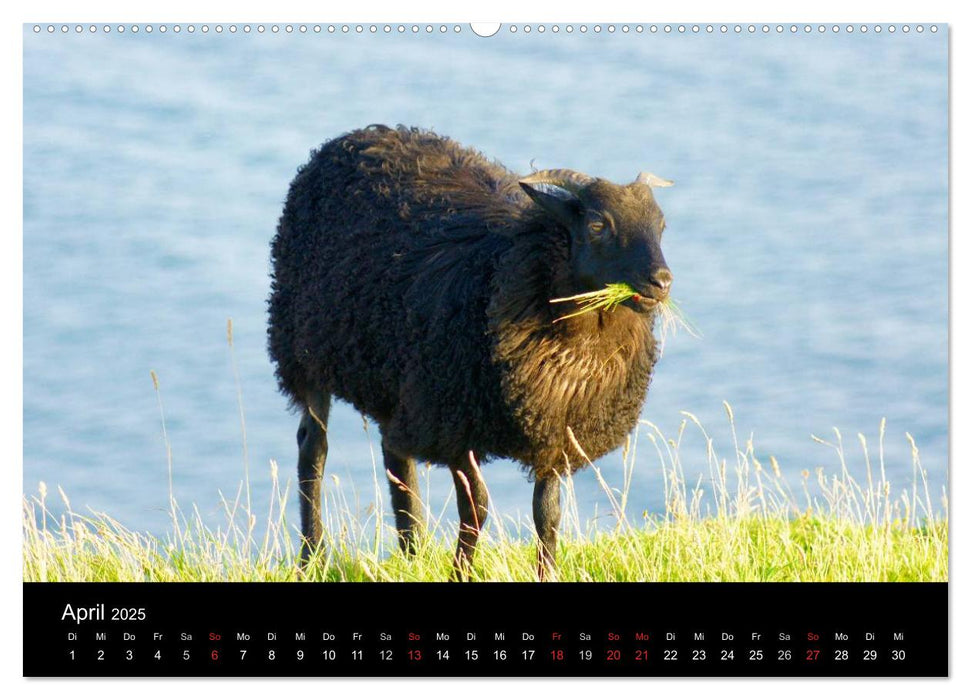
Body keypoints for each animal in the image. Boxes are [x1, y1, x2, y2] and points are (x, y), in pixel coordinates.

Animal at [270, 126, 672, 580]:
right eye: (598, 225)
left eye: (660, 225)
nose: (662, 281)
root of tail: (358, 136)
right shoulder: (458, 425)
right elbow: (476, 507)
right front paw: (460, 571)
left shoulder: (555, 432)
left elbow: (547, 513)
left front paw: (544, 572)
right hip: (305, 351)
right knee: (313, 448)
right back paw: (312, 555)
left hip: (401, 382)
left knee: (395, 454)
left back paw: (412, 551)